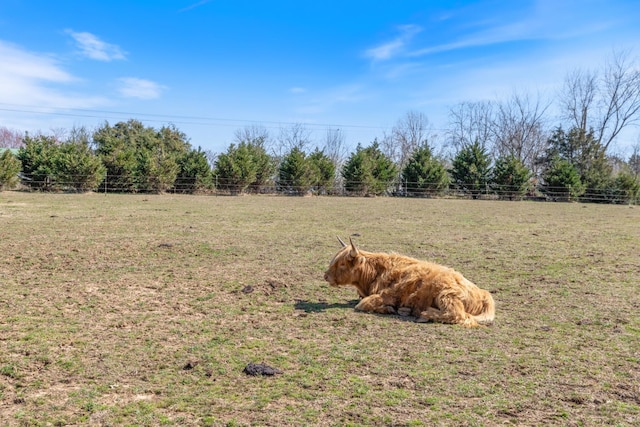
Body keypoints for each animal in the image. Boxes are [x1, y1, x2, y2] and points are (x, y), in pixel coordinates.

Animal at [324, 237, 496, 328]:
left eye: (342, 264)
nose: (326, 276)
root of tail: (484, 294)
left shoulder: (387, 295)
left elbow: (362, 304)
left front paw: (389, 309)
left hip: (447, 295)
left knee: (459, 316)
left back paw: (424, 314)